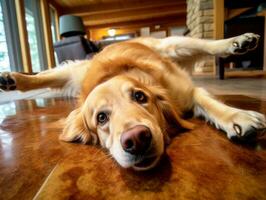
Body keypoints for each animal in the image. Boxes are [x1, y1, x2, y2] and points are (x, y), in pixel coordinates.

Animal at [0, 33, 264, 170]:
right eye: (101, 118)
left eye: (140, 96)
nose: (136, 139)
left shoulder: (186, 91)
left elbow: (210, 104)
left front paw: (239, 118)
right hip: (72, 74)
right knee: (43, 77)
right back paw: (11, 79)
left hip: (172, 45)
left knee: (207, 44)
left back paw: (239, 41)